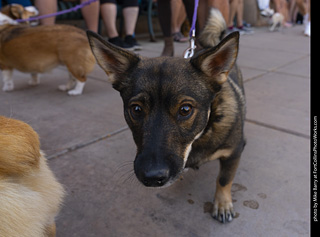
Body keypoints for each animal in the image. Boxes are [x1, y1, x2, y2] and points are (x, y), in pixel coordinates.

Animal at [87, 8, 245, 224]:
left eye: (185, 110)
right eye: (136, 109)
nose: (153, 177)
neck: (199, 137)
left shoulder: (234, 152)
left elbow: (224, 179)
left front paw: (222, 204)